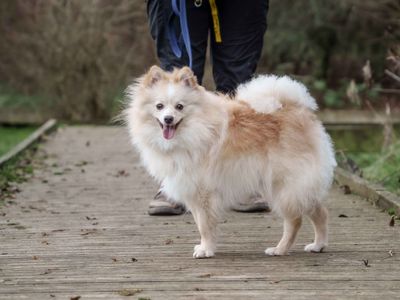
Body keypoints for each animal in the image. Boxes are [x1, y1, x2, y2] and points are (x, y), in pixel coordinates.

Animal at [126, 65, 338, 258]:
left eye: (180, 106)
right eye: (159, 106)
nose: (168, 119)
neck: (194, 130)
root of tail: (298, 108)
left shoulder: (204, 193)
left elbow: (204, 225)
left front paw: (206, 250)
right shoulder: (192, 190)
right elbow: (199, 222)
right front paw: (204, 246)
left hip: (283, 186)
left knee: (295, 220)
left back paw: (280, 249)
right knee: (320, 212)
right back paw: (318, 245)